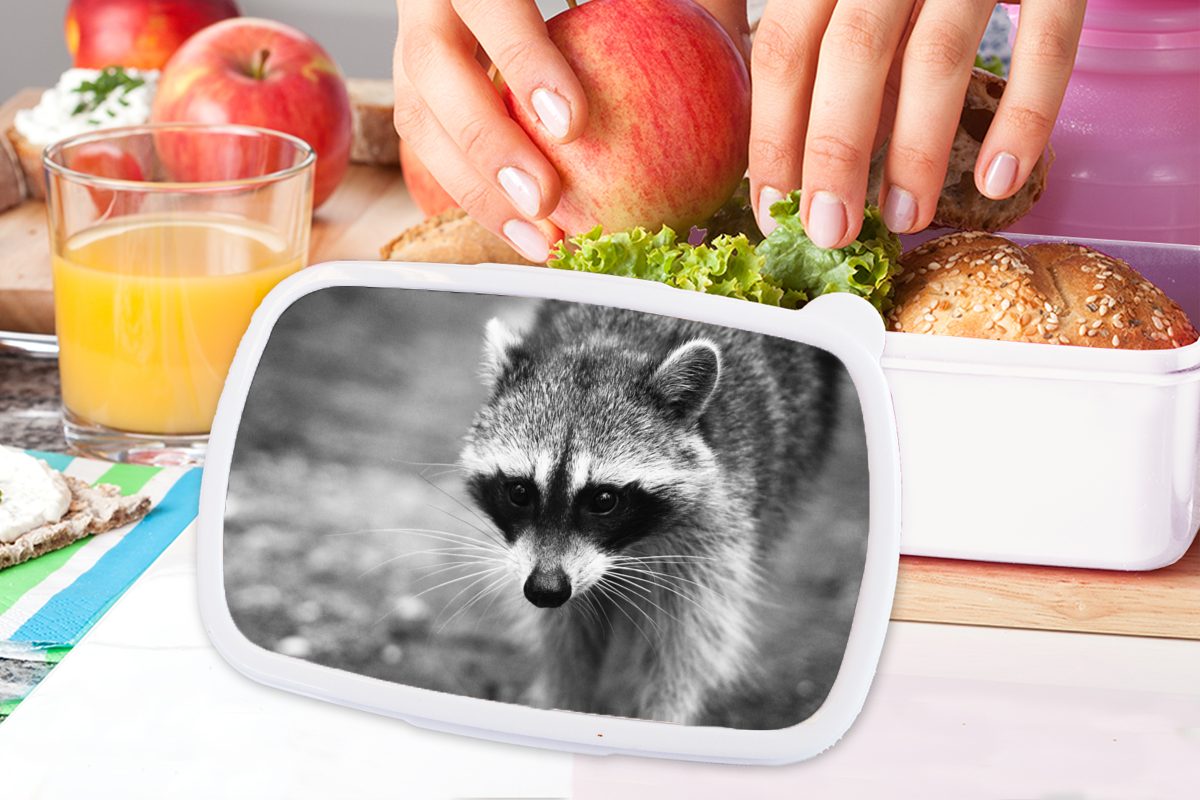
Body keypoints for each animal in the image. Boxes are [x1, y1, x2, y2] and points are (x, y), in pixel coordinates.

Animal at [463, 299, 840, 724]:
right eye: (519, 492)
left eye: (604, 500)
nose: (545, 590)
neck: (610, 342)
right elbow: (566, 634)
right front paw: (567, 698)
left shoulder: (719, 522)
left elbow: (689, 641)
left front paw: (662, 715)